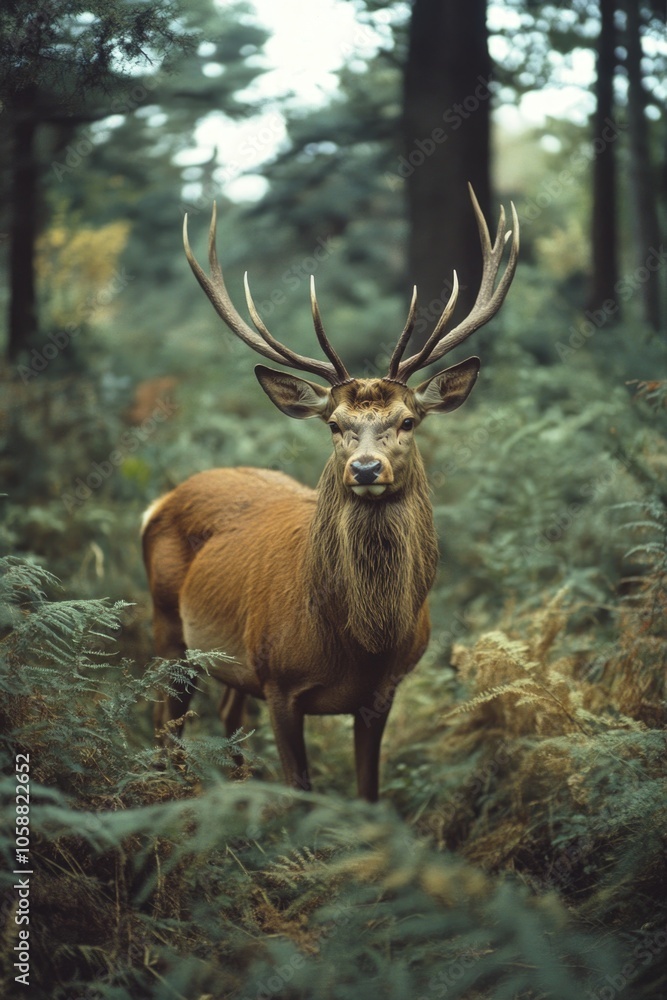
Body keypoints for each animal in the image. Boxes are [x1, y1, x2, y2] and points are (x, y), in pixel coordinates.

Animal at [141, 185, 518, 802]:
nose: (366, 468)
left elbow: (369, 791)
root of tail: (161, 502)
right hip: (168, 629)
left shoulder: (383, 693)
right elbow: (301, 789)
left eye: (408, 420)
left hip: (226, 660)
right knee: (164, 723)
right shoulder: (278, 681)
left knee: (225, 715)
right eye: (335, 425)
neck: (359, 645)